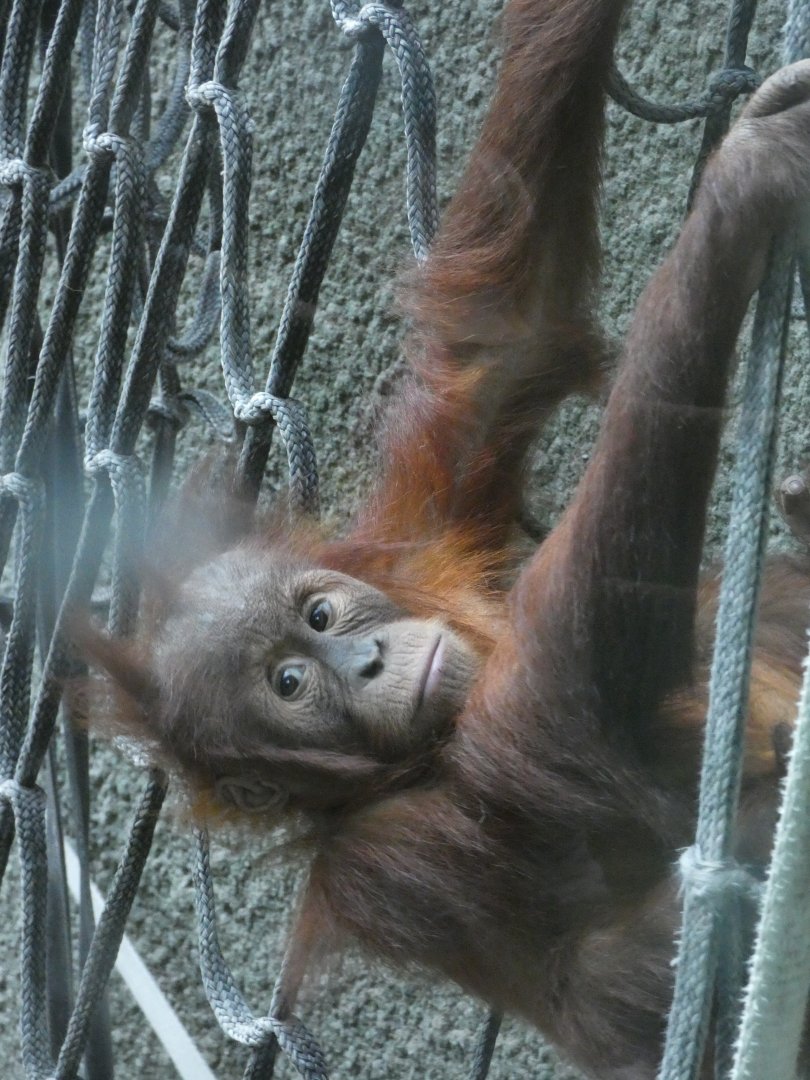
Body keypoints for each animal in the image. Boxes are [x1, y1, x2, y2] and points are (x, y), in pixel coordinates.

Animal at [83, 0, 810, 1076]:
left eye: (322, 614)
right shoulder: (392, 853)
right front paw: (738, 193)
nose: (368, 659)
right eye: (290, 685)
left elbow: (505, 328)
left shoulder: (416, 538)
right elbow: (575, 733)